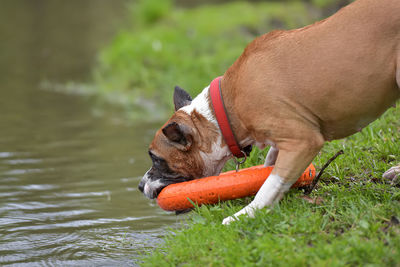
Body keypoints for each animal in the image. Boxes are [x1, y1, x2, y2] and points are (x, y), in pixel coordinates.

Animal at [138, 0, 400, 225]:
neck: (225, 110)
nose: (140, 186)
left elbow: (270, 183)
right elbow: (269, 168)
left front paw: (245, 214)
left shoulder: (303, 141)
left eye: (156, 158)